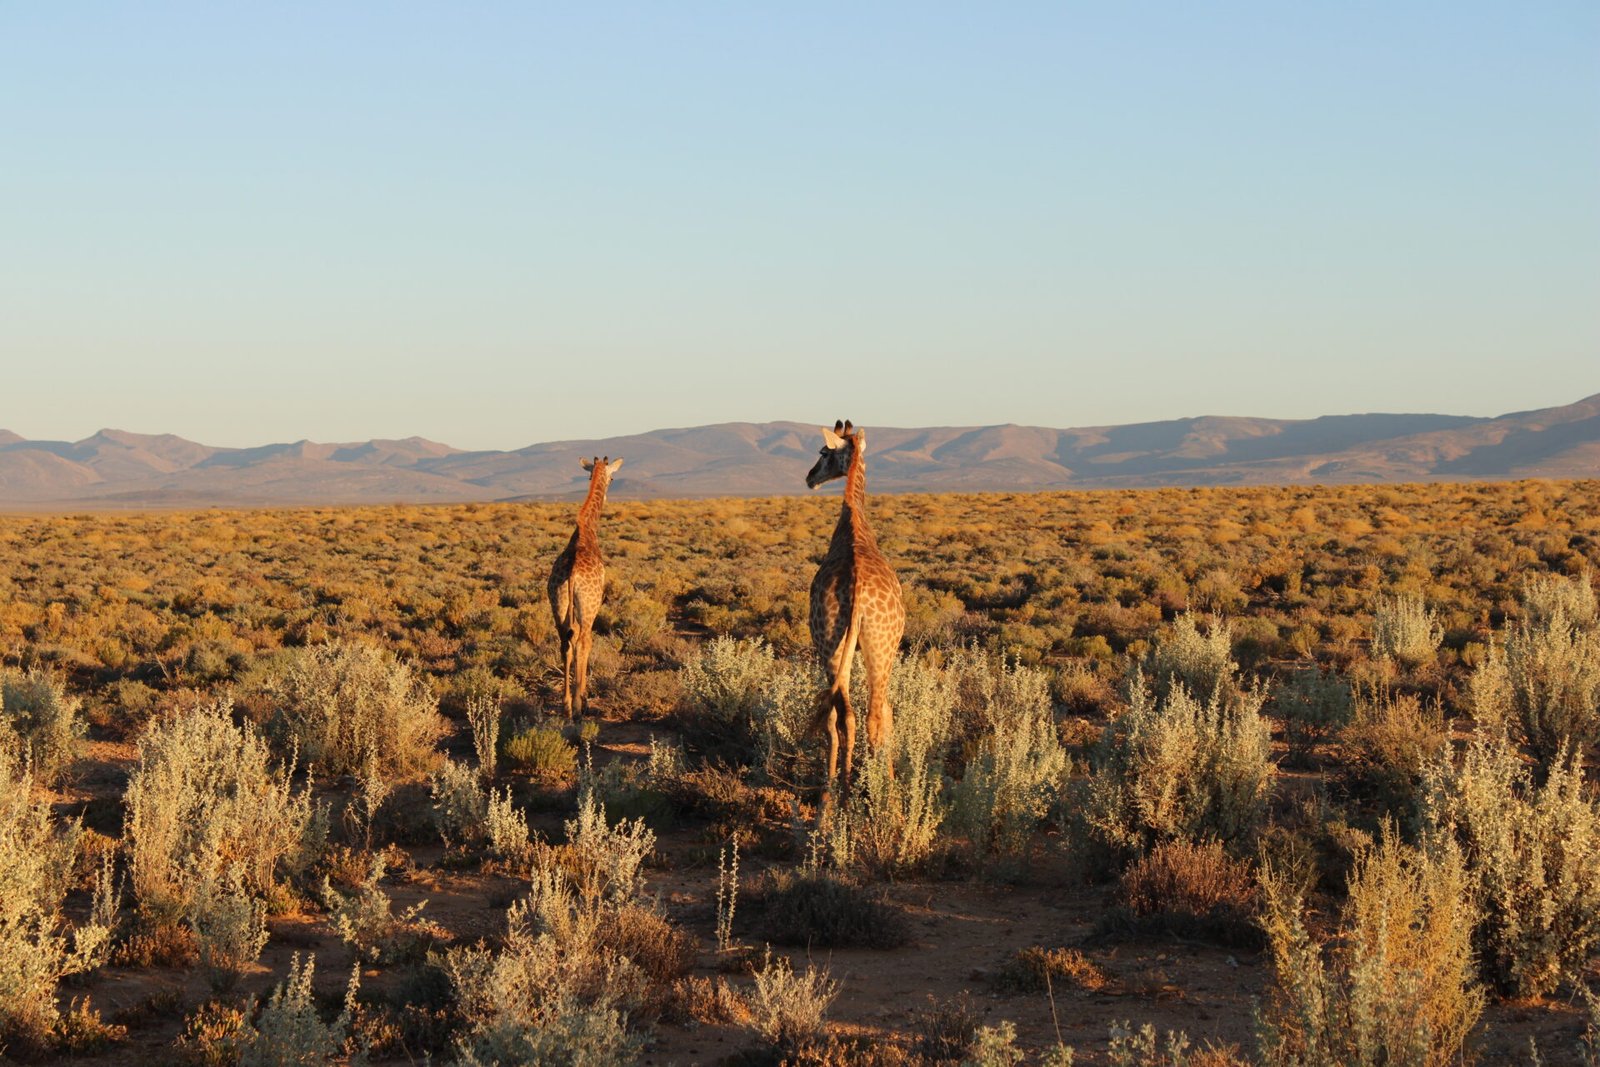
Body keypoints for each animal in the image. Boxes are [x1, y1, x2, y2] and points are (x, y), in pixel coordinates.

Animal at [548, 455, 623, 718]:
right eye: (612, 478)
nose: (610, 492)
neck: (587, 529)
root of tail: (571, 572)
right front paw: (584, 697)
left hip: (558, 602)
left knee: (565, 642)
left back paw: (566, 705)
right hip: (589, 605)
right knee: (583, 641)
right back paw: (580, 704)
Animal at [806, 420, 905, 809]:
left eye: (823, 453)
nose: (809, 478)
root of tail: (857, 591)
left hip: (836, 644)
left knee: (844, 713)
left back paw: (837, 795)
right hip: (878, 646)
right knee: (870, 714)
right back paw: (880, 798)